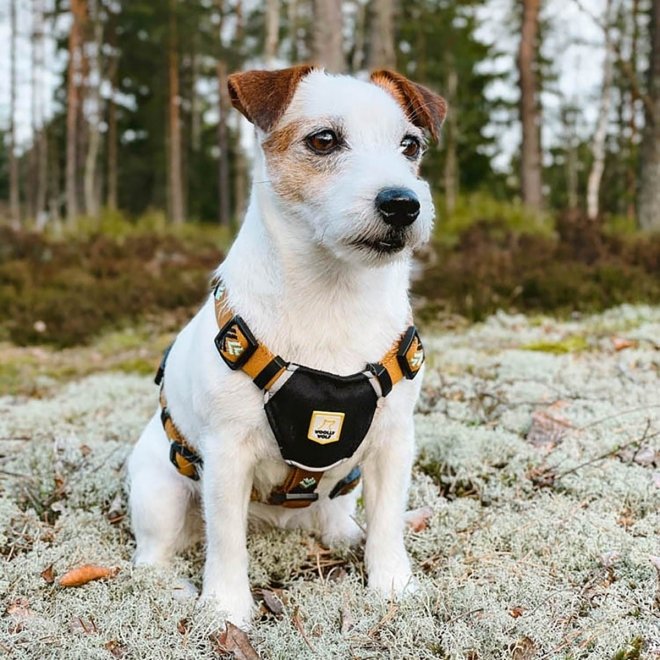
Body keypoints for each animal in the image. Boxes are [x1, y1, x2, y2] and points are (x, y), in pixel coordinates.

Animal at [127, 65, 448, 628]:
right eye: (323, 140)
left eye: (410, 145)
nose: (402, 204)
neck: (333, 295)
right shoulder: (227, 454)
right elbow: (226, 541)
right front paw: (226, 607)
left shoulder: (392, 441)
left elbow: (388, 522)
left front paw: (392, 585)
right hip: (159, 491)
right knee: (153, 555)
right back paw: (174, 587)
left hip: (347, 478)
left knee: (335, 511)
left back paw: (343, 535)